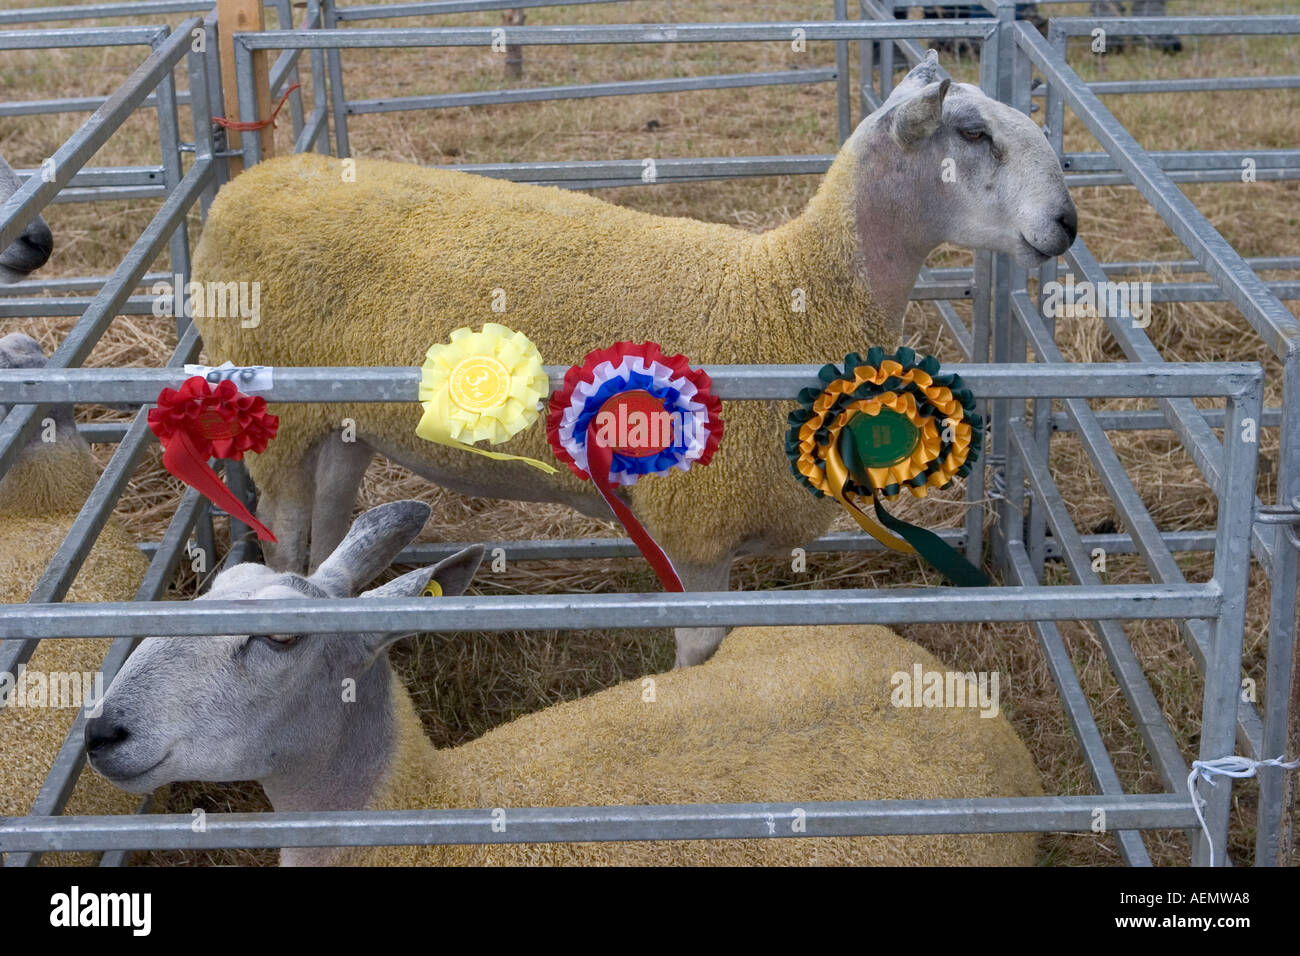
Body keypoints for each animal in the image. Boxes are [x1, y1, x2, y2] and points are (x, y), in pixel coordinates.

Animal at [185, 50, 1076, 665]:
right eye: (972, 133)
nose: (1066, 224)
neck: (782, 298)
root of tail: (251, 180)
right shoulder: (695, 533)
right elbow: (699, 660)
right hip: (277, 419)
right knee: (286, 539)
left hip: (342, 421)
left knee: (331, 528)